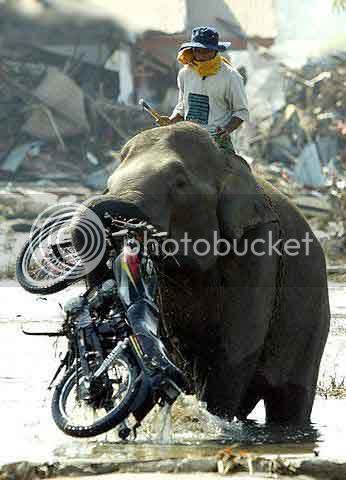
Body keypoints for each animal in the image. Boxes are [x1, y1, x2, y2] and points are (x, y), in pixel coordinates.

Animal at [72, 123, 330, 424]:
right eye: (109, 184)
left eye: (180, 183)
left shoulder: (260, 246)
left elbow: (235, 351)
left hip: (311, 322)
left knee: (291, 399)